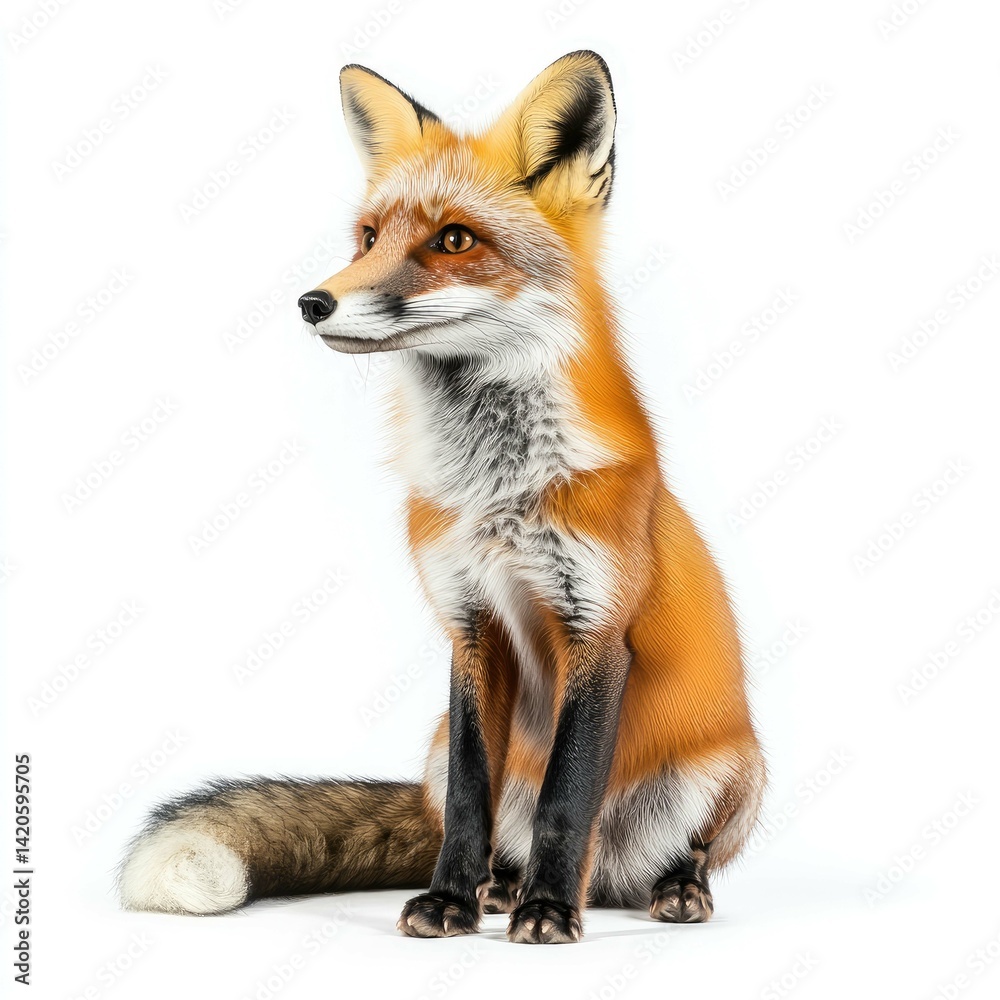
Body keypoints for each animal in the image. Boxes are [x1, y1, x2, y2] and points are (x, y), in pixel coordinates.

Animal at [119, 50, 766, 944]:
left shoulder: (597, 628)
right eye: (367, 238)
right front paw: (453, 900)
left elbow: (568, 798)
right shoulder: (468, 623)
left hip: (735, 768)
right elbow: (468, 798)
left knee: (680, 851)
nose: (312, 303)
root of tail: (614, 879)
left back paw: (665, 889)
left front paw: (548, 912)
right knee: (493, 824)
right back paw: (500, 887)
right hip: (430, 746)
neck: (495, 492)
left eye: (454, 239)